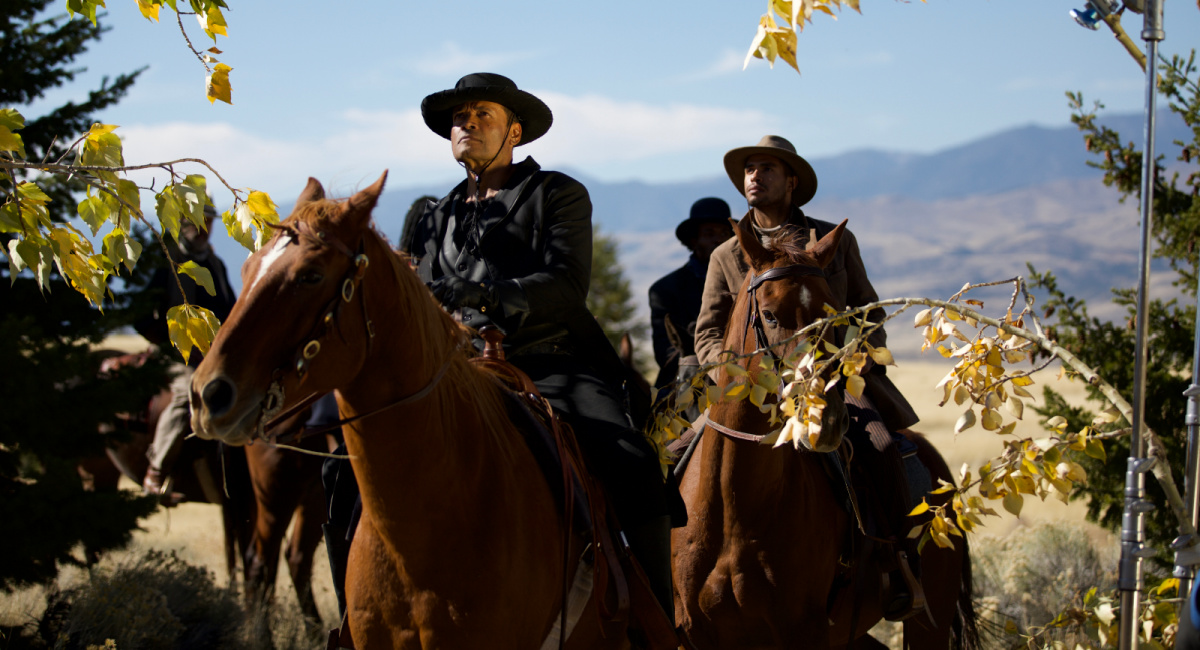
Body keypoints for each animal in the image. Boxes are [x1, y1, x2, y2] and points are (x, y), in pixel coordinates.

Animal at [672, 220, 979, 650]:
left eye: (834, 314)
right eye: (769, 315)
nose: (828, 417)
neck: (733, 513)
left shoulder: (803, 630)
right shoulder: (694, 633)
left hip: (927, 618)